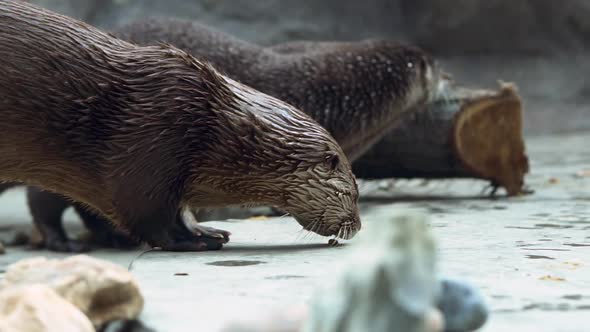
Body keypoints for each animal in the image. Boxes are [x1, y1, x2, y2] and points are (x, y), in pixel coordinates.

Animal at [0, 1, 360, 252]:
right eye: (352, 195)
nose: (356, 226)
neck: (210, 127)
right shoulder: (147, 151)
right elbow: (149, 218)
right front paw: (194, 241)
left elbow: (179, 209)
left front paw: (204, 230)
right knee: (44, 206)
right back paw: (67, 244)